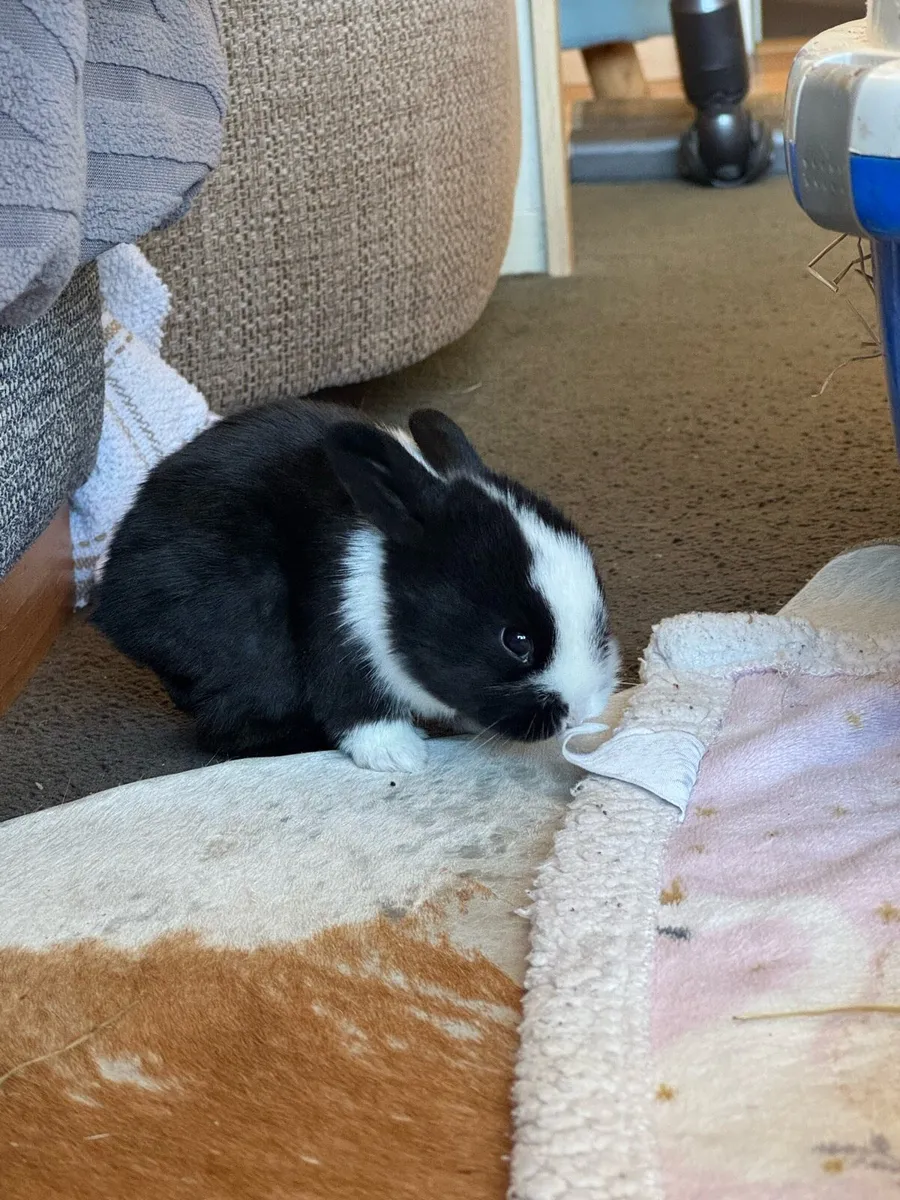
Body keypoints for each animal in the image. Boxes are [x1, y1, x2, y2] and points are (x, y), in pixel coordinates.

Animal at [92, 401, 619, 773]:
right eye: (516, 640)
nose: (580, 713)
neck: (388, 582)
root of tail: (112, 602)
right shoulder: (339, 632)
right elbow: (354, 702)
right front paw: (399, 756)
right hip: (245, 639)